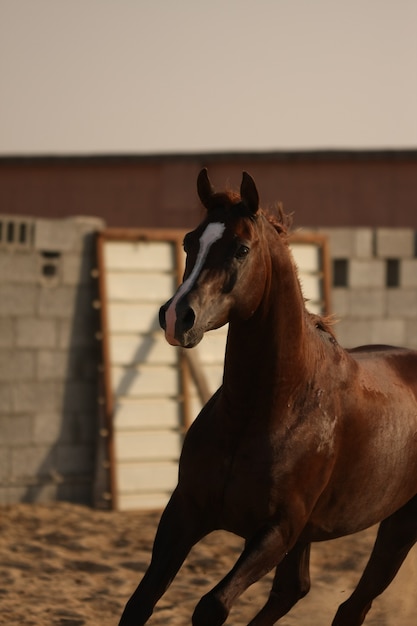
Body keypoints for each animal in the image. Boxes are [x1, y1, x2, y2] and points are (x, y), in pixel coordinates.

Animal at [118, 168, 417, 620]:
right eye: (190, 241)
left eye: (241, 249)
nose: (176, 317)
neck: (267, 409)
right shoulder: (185, 511)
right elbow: (139, 602)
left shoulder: (277, 532)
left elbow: (212, 605)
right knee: (294, 590)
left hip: (400, 524)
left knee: (353, 605)